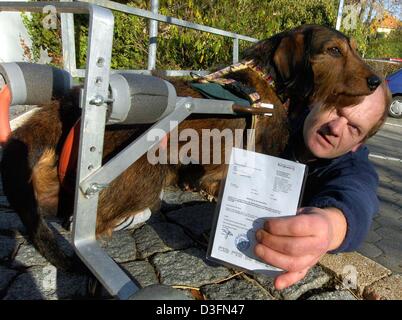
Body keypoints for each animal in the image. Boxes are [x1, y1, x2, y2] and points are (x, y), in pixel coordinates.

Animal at [0, 24, 382, 272]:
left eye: (351, 48)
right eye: (334, 50)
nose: (377, 80)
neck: (270, 81)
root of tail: (69, 104)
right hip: (144, 170)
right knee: (86, 221)